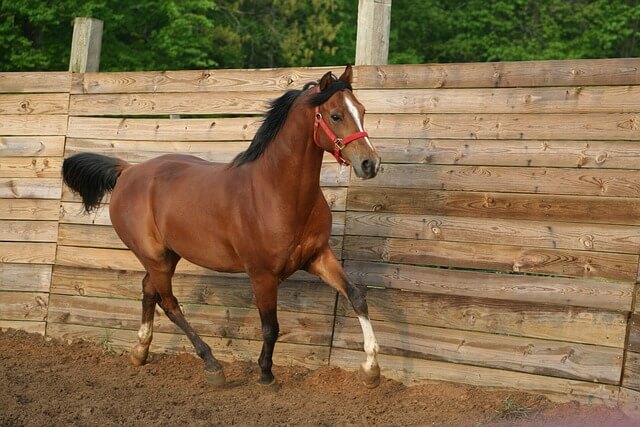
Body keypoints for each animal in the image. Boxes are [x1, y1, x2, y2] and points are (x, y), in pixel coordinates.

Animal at [61, 65, 380, 390]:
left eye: (362, 111)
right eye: (335, 115)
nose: (370, 164)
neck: (277, 192)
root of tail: (128, 171)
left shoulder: (317, 257)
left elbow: (357, 297)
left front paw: (371, 369)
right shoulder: (262, 275)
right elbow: (270, 326)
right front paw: (265, 375)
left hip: (168, 256)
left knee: (149, 290)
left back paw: (140, 352)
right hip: (155, 258)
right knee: (170, 303)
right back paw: (212, 366)